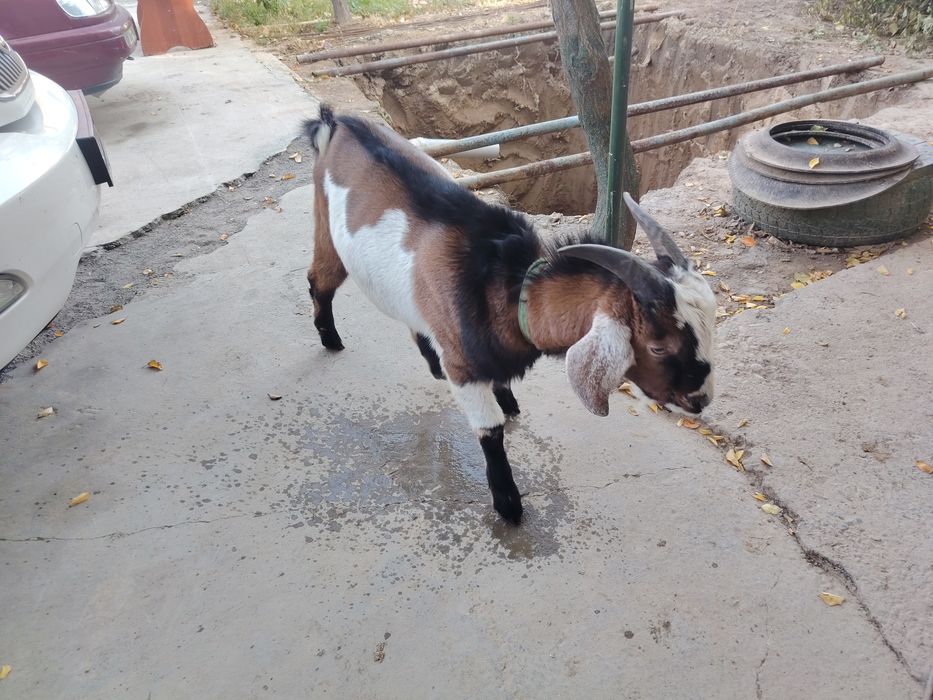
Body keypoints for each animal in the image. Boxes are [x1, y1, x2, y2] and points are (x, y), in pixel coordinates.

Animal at [304, 104, 716, 525]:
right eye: (659, 347)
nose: (701, 400)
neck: (504, 284)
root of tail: (336, 121)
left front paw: (508, 399)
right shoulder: (463, 369)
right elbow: (491, 432)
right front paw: (508, 503)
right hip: (326, 228)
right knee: (319, 281)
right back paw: (330, 338)